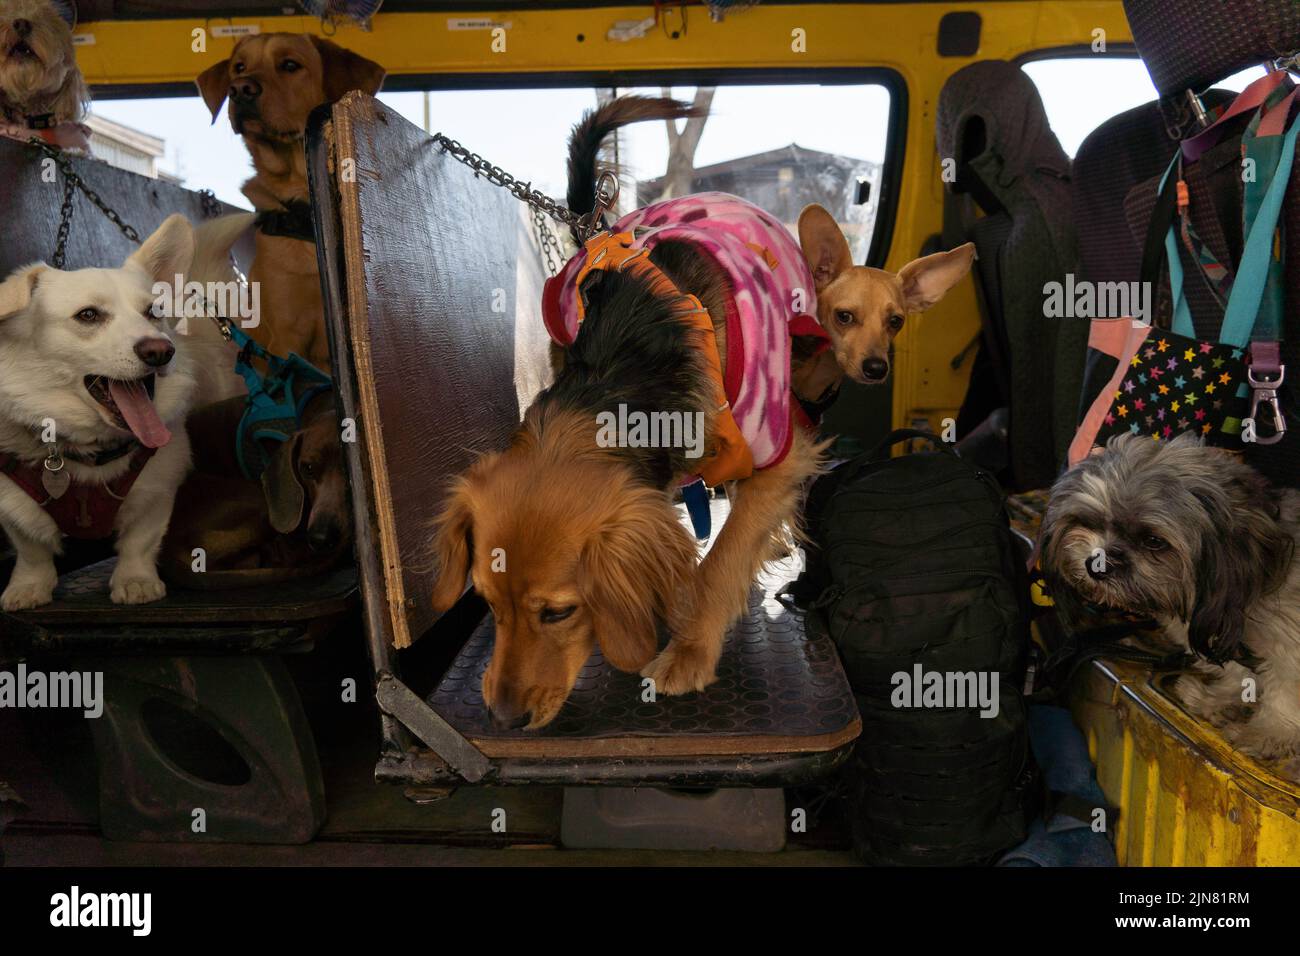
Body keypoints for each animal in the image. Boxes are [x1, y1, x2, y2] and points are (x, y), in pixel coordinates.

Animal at [0, 214, 197, 608]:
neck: (89, 450)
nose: (160, 350)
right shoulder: (12, 507)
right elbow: (31, 551)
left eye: (154, 313)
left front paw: (136, 581)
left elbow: (140, 541)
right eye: (88, 315)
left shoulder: (158, 490)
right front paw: (28, 587)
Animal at [1040, 434, 1300, 770]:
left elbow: (1285, 694)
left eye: (1153, 541)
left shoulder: (1290, 642)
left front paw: (1267, 733)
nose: (1096, 565)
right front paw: (1218, 699)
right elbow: (1236, 670)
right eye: (1087, 521)